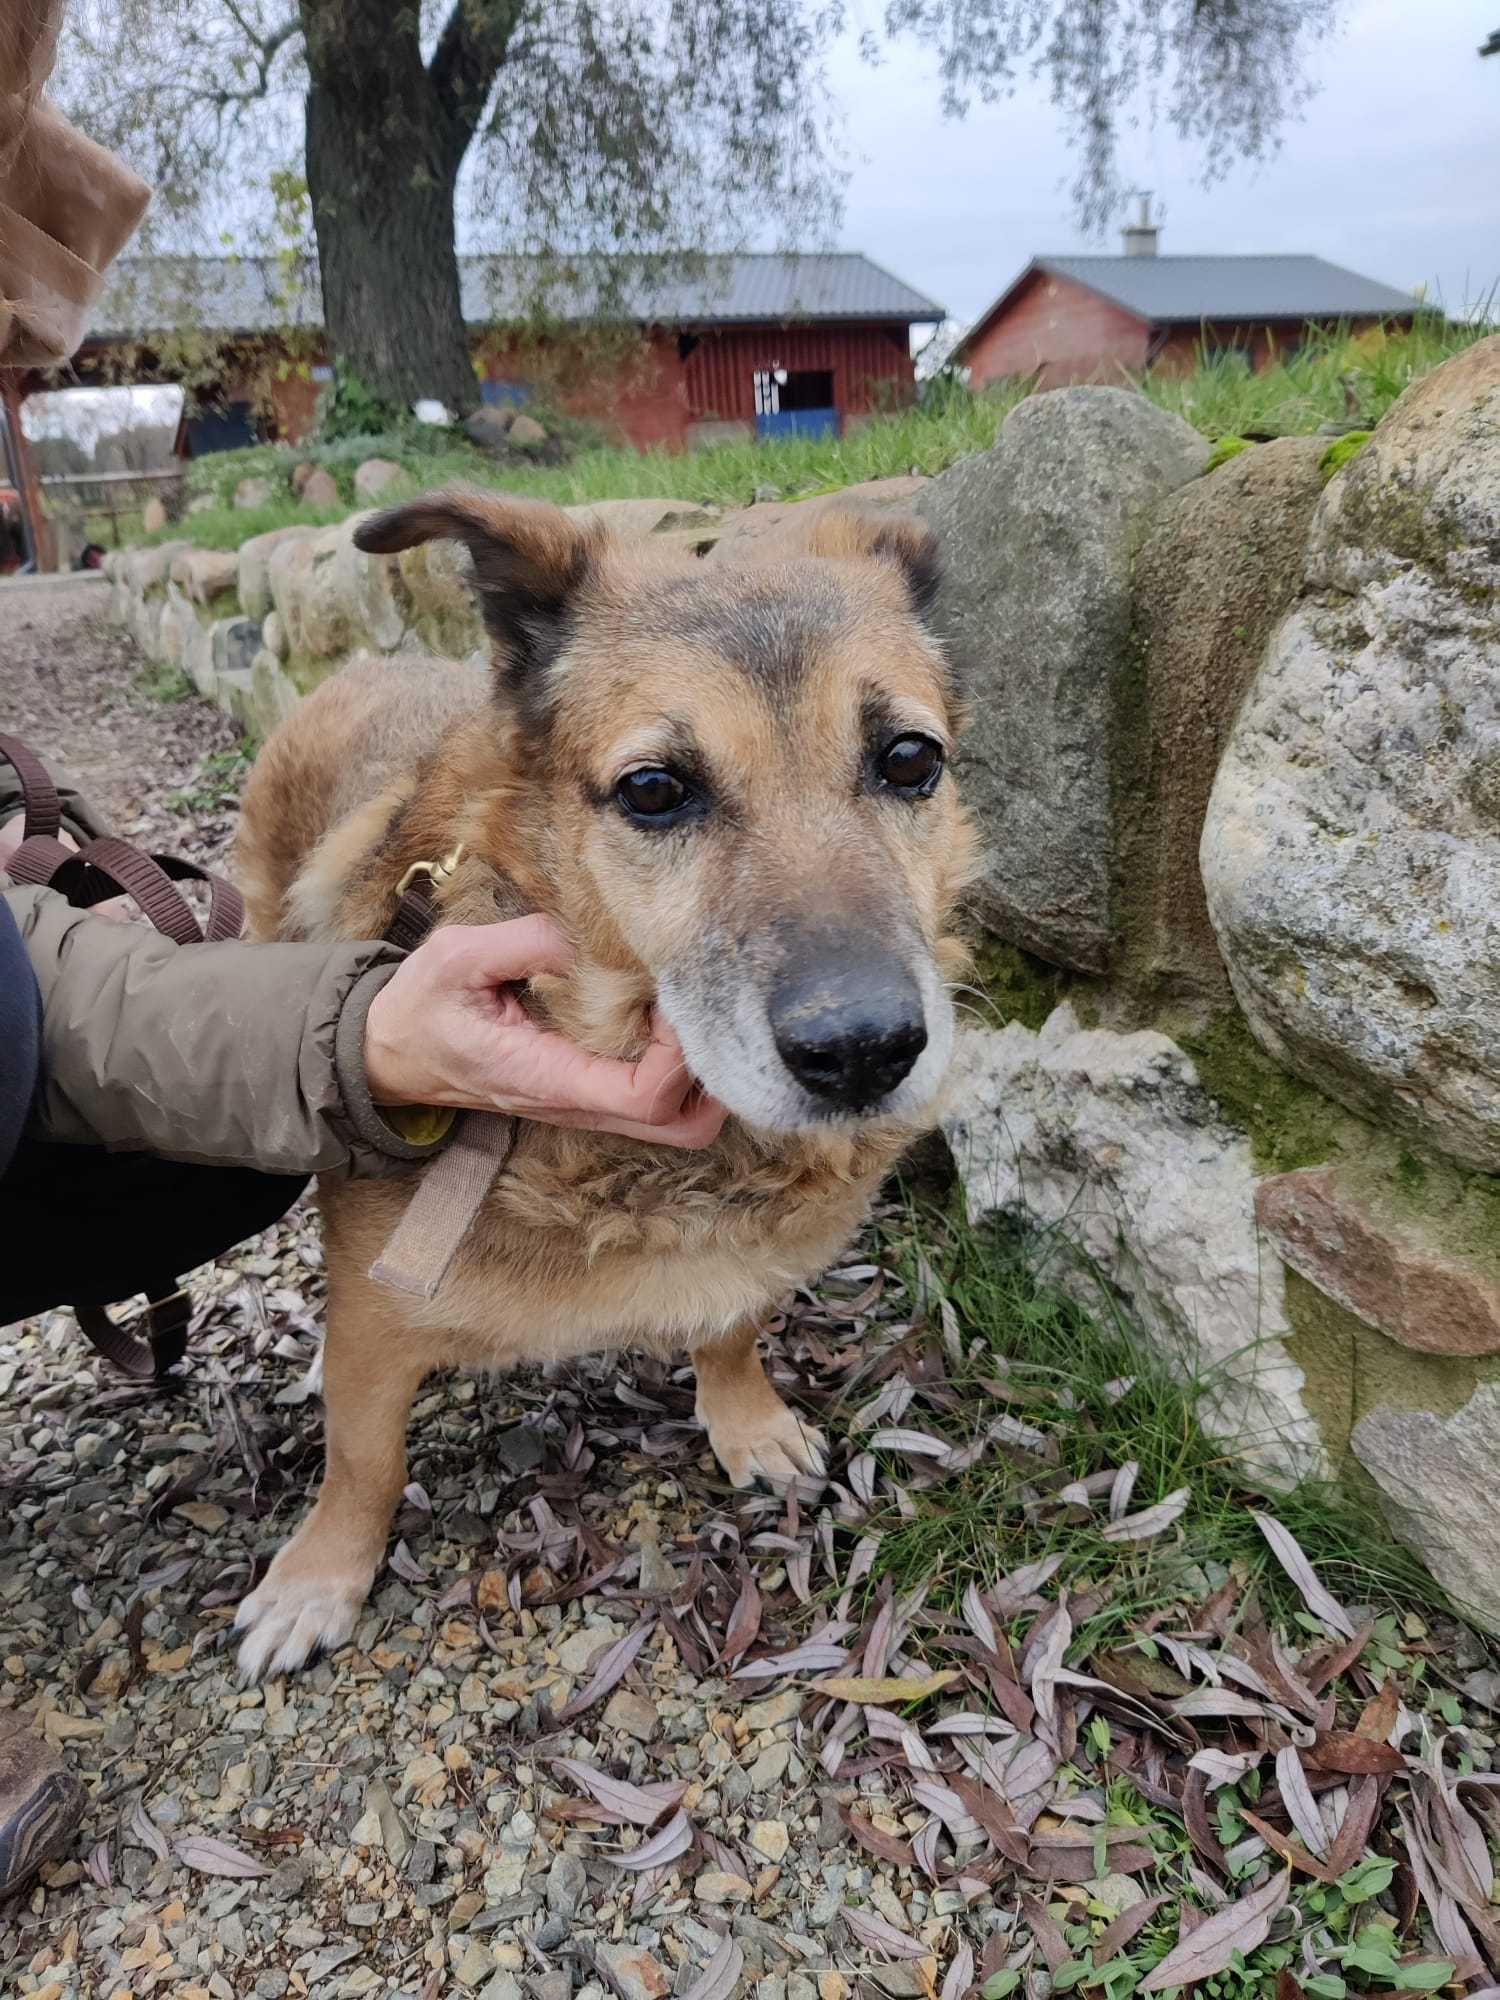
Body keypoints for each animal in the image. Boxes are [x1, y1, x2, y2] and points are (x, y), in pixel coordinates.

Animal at [229, 492, 968, 1680]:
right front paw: (321, 1574)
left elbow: (733, 1325)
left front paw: (744, 1417)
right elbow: (363, 1460)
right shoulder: (379, 1328)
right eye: (655, 790)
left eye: (909, 759)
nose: (864, 1050)